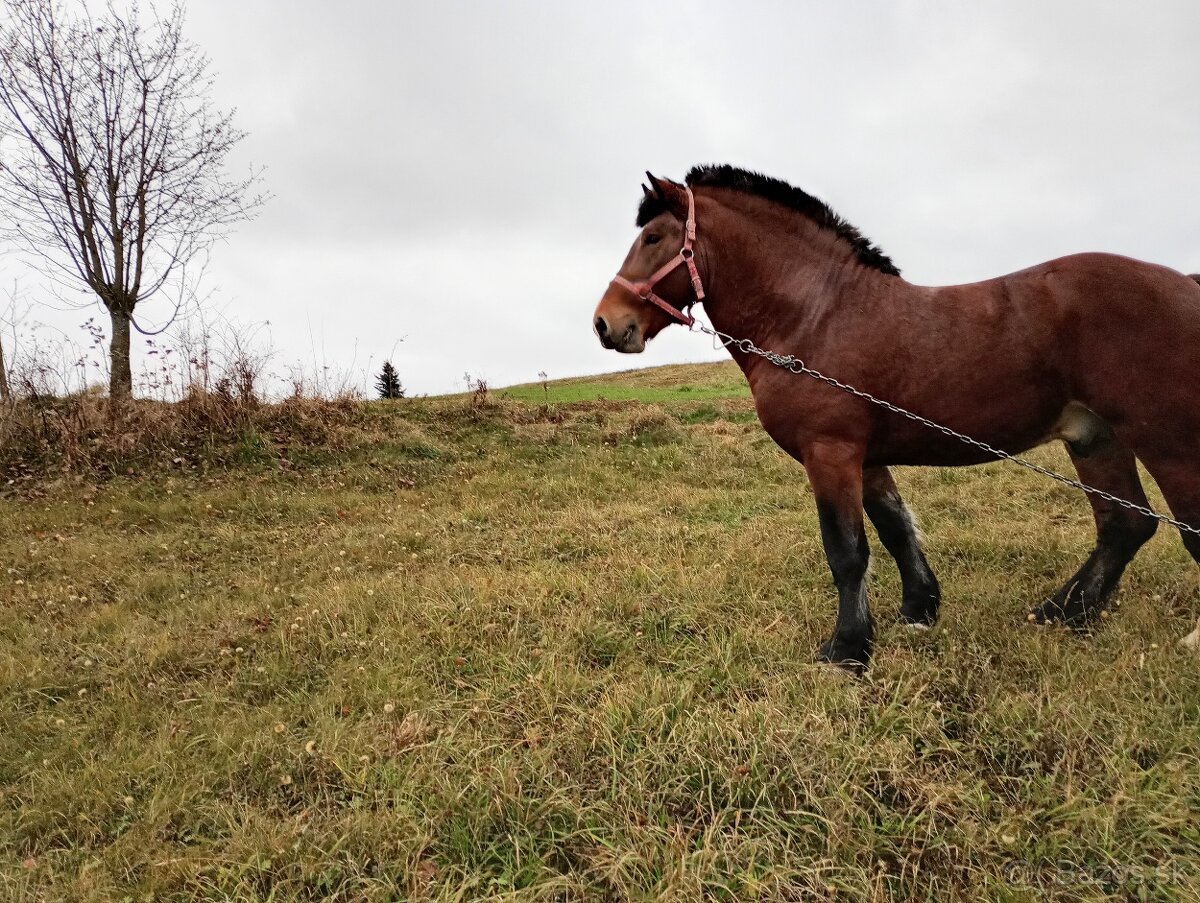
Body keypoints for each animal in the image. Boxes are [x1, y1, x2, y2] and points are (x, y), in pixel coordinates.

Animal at [590, 164, 1200, 672]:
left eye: (653, 238)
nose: (605, 324)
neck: (814, 316)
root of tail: (1186, 283)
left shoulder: (830, 452)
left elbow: (847, 550)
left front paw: (847, 649)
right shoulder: (866, 458)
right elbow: (896, 530)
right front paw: (918, 610)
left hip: (1169, 443)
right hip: (1095, 437)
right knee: (1124, 524)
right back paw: (1062, 612)